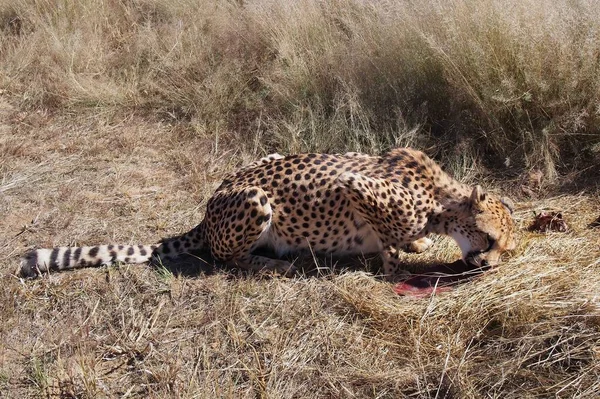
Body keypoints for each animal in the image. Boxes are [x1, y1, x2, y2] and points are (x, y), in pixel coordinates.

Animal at [18, 148, 516, 280]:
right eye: (491, 241)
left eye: (507, 249)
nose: (491, 266)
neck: (442, 198)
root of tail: (207, 210)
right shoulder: (354, 186)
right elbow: (388, 240)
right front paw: (393, 264)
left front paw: (416, 243)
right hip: (256, 199)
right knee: (226, 259)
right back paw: (274, 263)